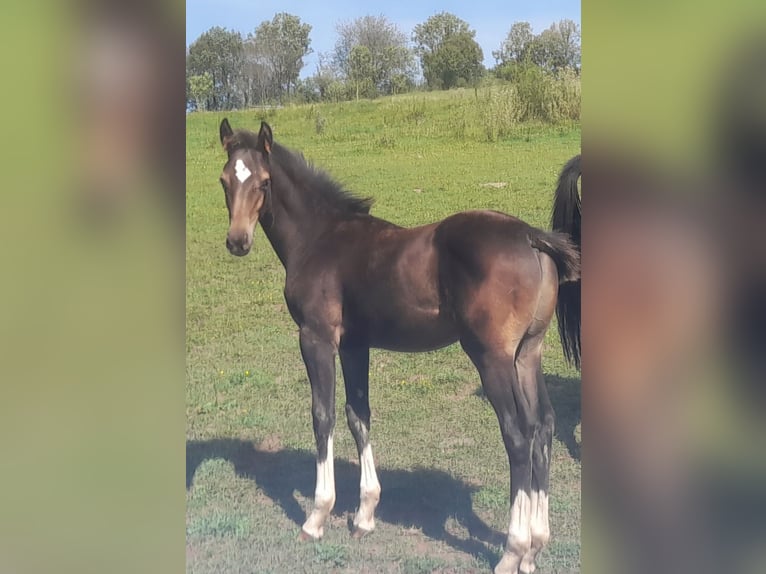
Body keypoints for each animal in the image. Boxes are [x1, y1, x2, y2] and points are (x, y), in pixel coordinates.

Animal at [216, 118, 584, 574]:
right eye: (225, 179)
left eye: (264, 182)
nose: (237, 241)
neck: (319, 239)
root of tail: (531, 236)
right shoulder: (355, 344)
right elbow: (358, 415)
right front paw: (364, 516)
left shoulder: (316, 337)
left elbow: (323, 416)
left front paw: (317, 517)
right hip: (527, 354)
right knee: (544, 426)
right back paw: (535, 548)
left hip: (492, 357)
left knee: (518, 435)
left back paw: (512, 550)